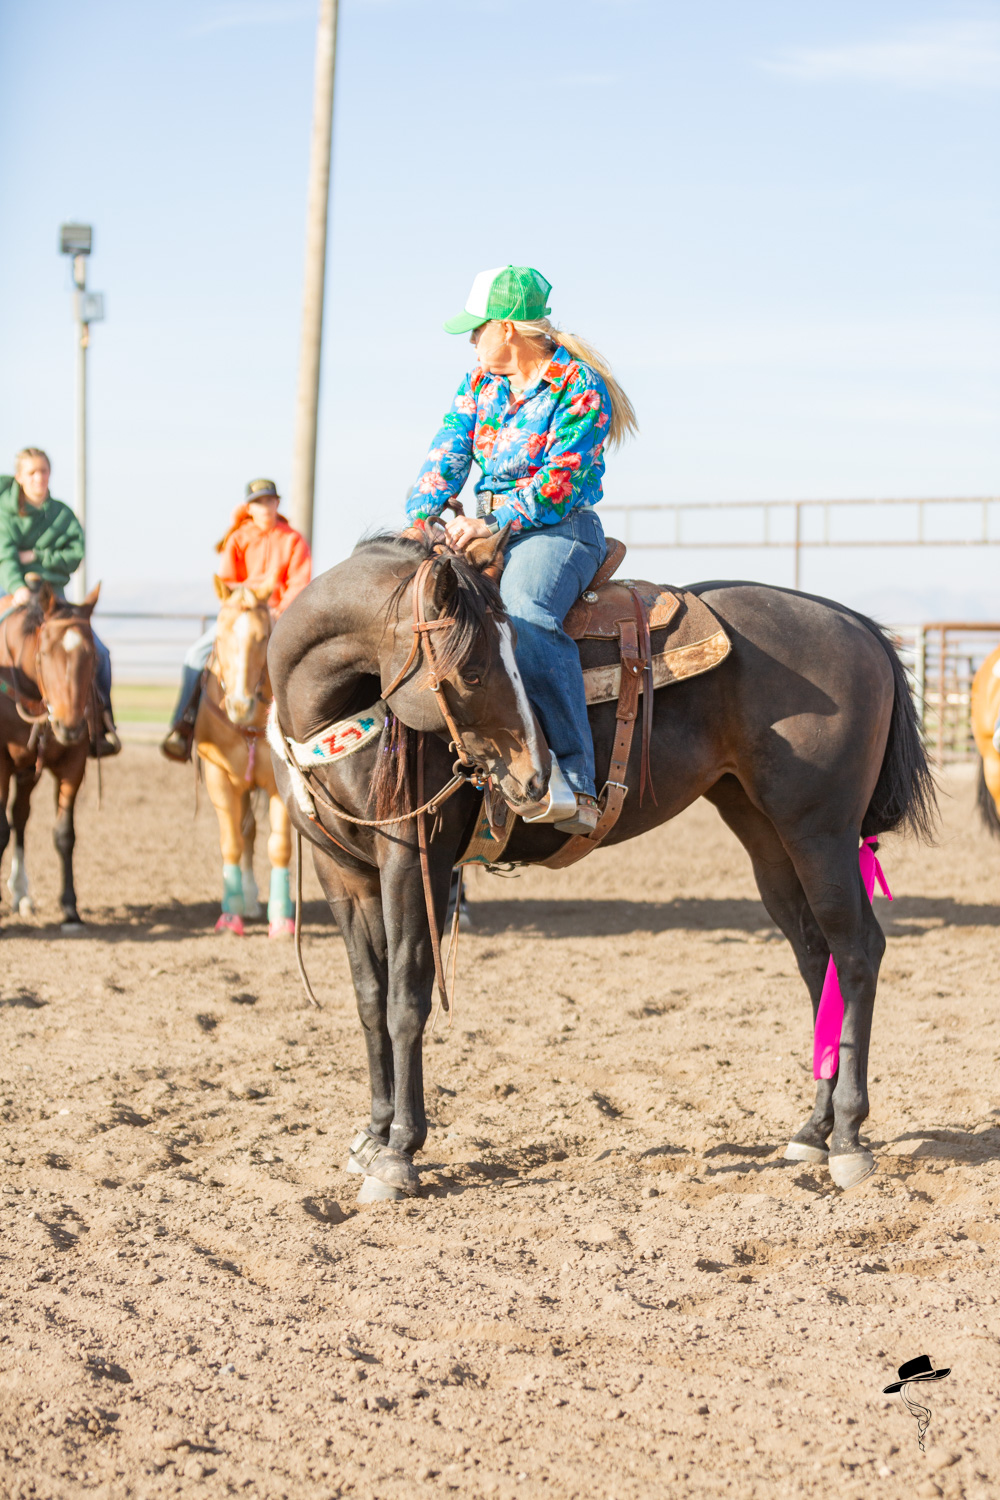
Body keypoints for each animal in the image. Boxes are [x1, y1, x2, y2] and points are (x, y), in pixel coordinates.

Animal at [0, 581, 103, 930]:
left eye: (93, 656)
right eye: (44, 654)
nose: (69, 726)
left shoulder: (74, 763)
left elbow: (64, 835)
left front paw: (70, 908)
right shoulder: (1, 763)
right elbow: (0, 831)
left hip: (29, 769)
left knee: (20, 815)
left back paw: (22, 895)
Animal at [194, 579, 294, 938]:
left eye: (262, 637)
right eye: (220, 636)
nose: (239, 705)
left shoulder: (279, 785)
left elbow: (279, 847)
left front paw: (281, 918)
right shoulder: (218, 777)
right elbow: (232, 843)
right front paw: (230, 914)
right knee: (245, 831)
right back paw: (247, 901)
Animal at [267, 529, 936, 1203]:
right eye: (474, 670)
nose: (535, 777)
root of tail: (857, 625)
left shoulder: (413, 859)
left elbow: (406, 999)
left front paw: (400, 1152)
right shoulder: (342, 874)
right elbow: (369, 999)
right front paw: (373, 1135)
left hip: (820, 829)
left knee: (856, 951)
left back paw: (848, 1138)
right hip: (766, 833)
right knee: (815, 956)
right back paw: (812, 1130)